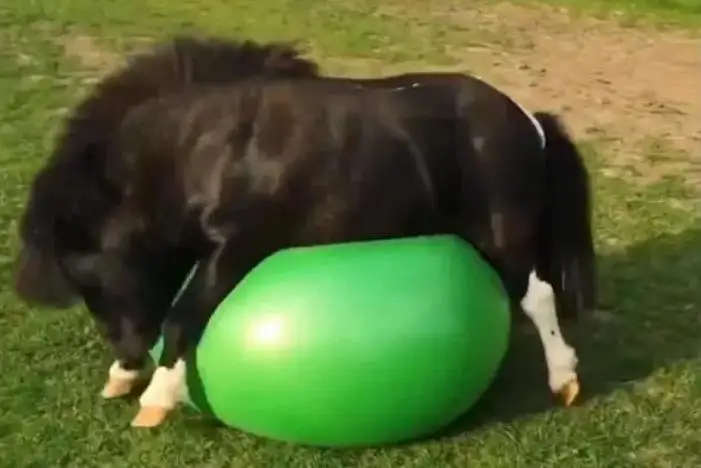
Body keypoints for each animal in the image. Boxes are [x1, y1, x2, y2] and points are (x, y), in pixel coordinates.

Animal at [13, 36, 596, 428]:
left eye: (92, 277)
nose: (128, 361)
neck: (212, 149)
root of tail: (528, 121)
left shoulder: (238, 247)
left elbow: (181, 319)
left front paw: (155, 401)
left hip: (505, 235)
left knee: (539, 296)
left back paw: (564, 378)